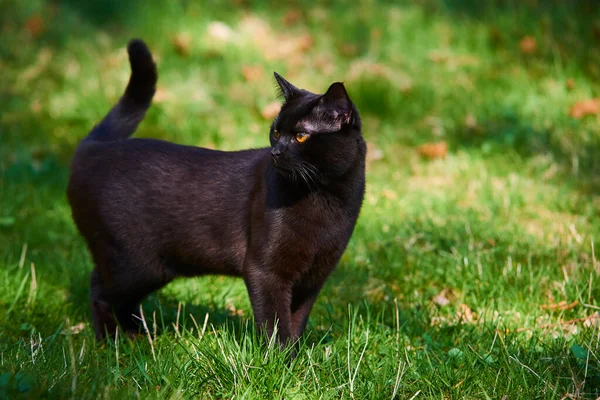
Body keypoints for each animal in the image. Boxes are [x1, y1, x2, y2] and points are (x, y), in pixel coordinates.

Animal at [65, 39, 366, 348]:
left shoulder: (313, 278)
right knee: (99, 289)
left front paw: (296, 356)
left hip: (151, 269)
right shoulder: (265, 271)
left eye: (301, 136)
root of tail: (93, 148)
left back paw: (140, 337)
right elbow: (275, 323)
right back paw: (110, 341)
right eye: (275, 132)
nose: (276, 152)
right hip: (135, 265)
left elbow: (295, 322)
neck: (324, 199)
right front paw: (278, 358)